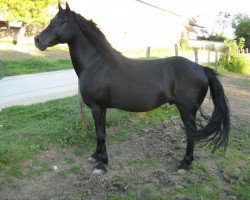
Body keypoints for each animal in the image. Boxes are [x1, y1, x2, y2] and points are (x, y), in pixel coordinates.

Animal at [34, 3, 229, 175]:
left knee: (191, 135)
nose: (37, 40)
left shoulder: (98, 108)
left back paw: (184, 165)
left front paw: (101, 165)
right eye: (52, 20)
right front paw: (96, 156)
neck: (97, 64)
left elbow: (101, 134)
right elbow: (99, 133)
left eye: (61, 22)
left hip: (187, 111)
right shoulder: (101, 109)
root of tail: (202, 68)